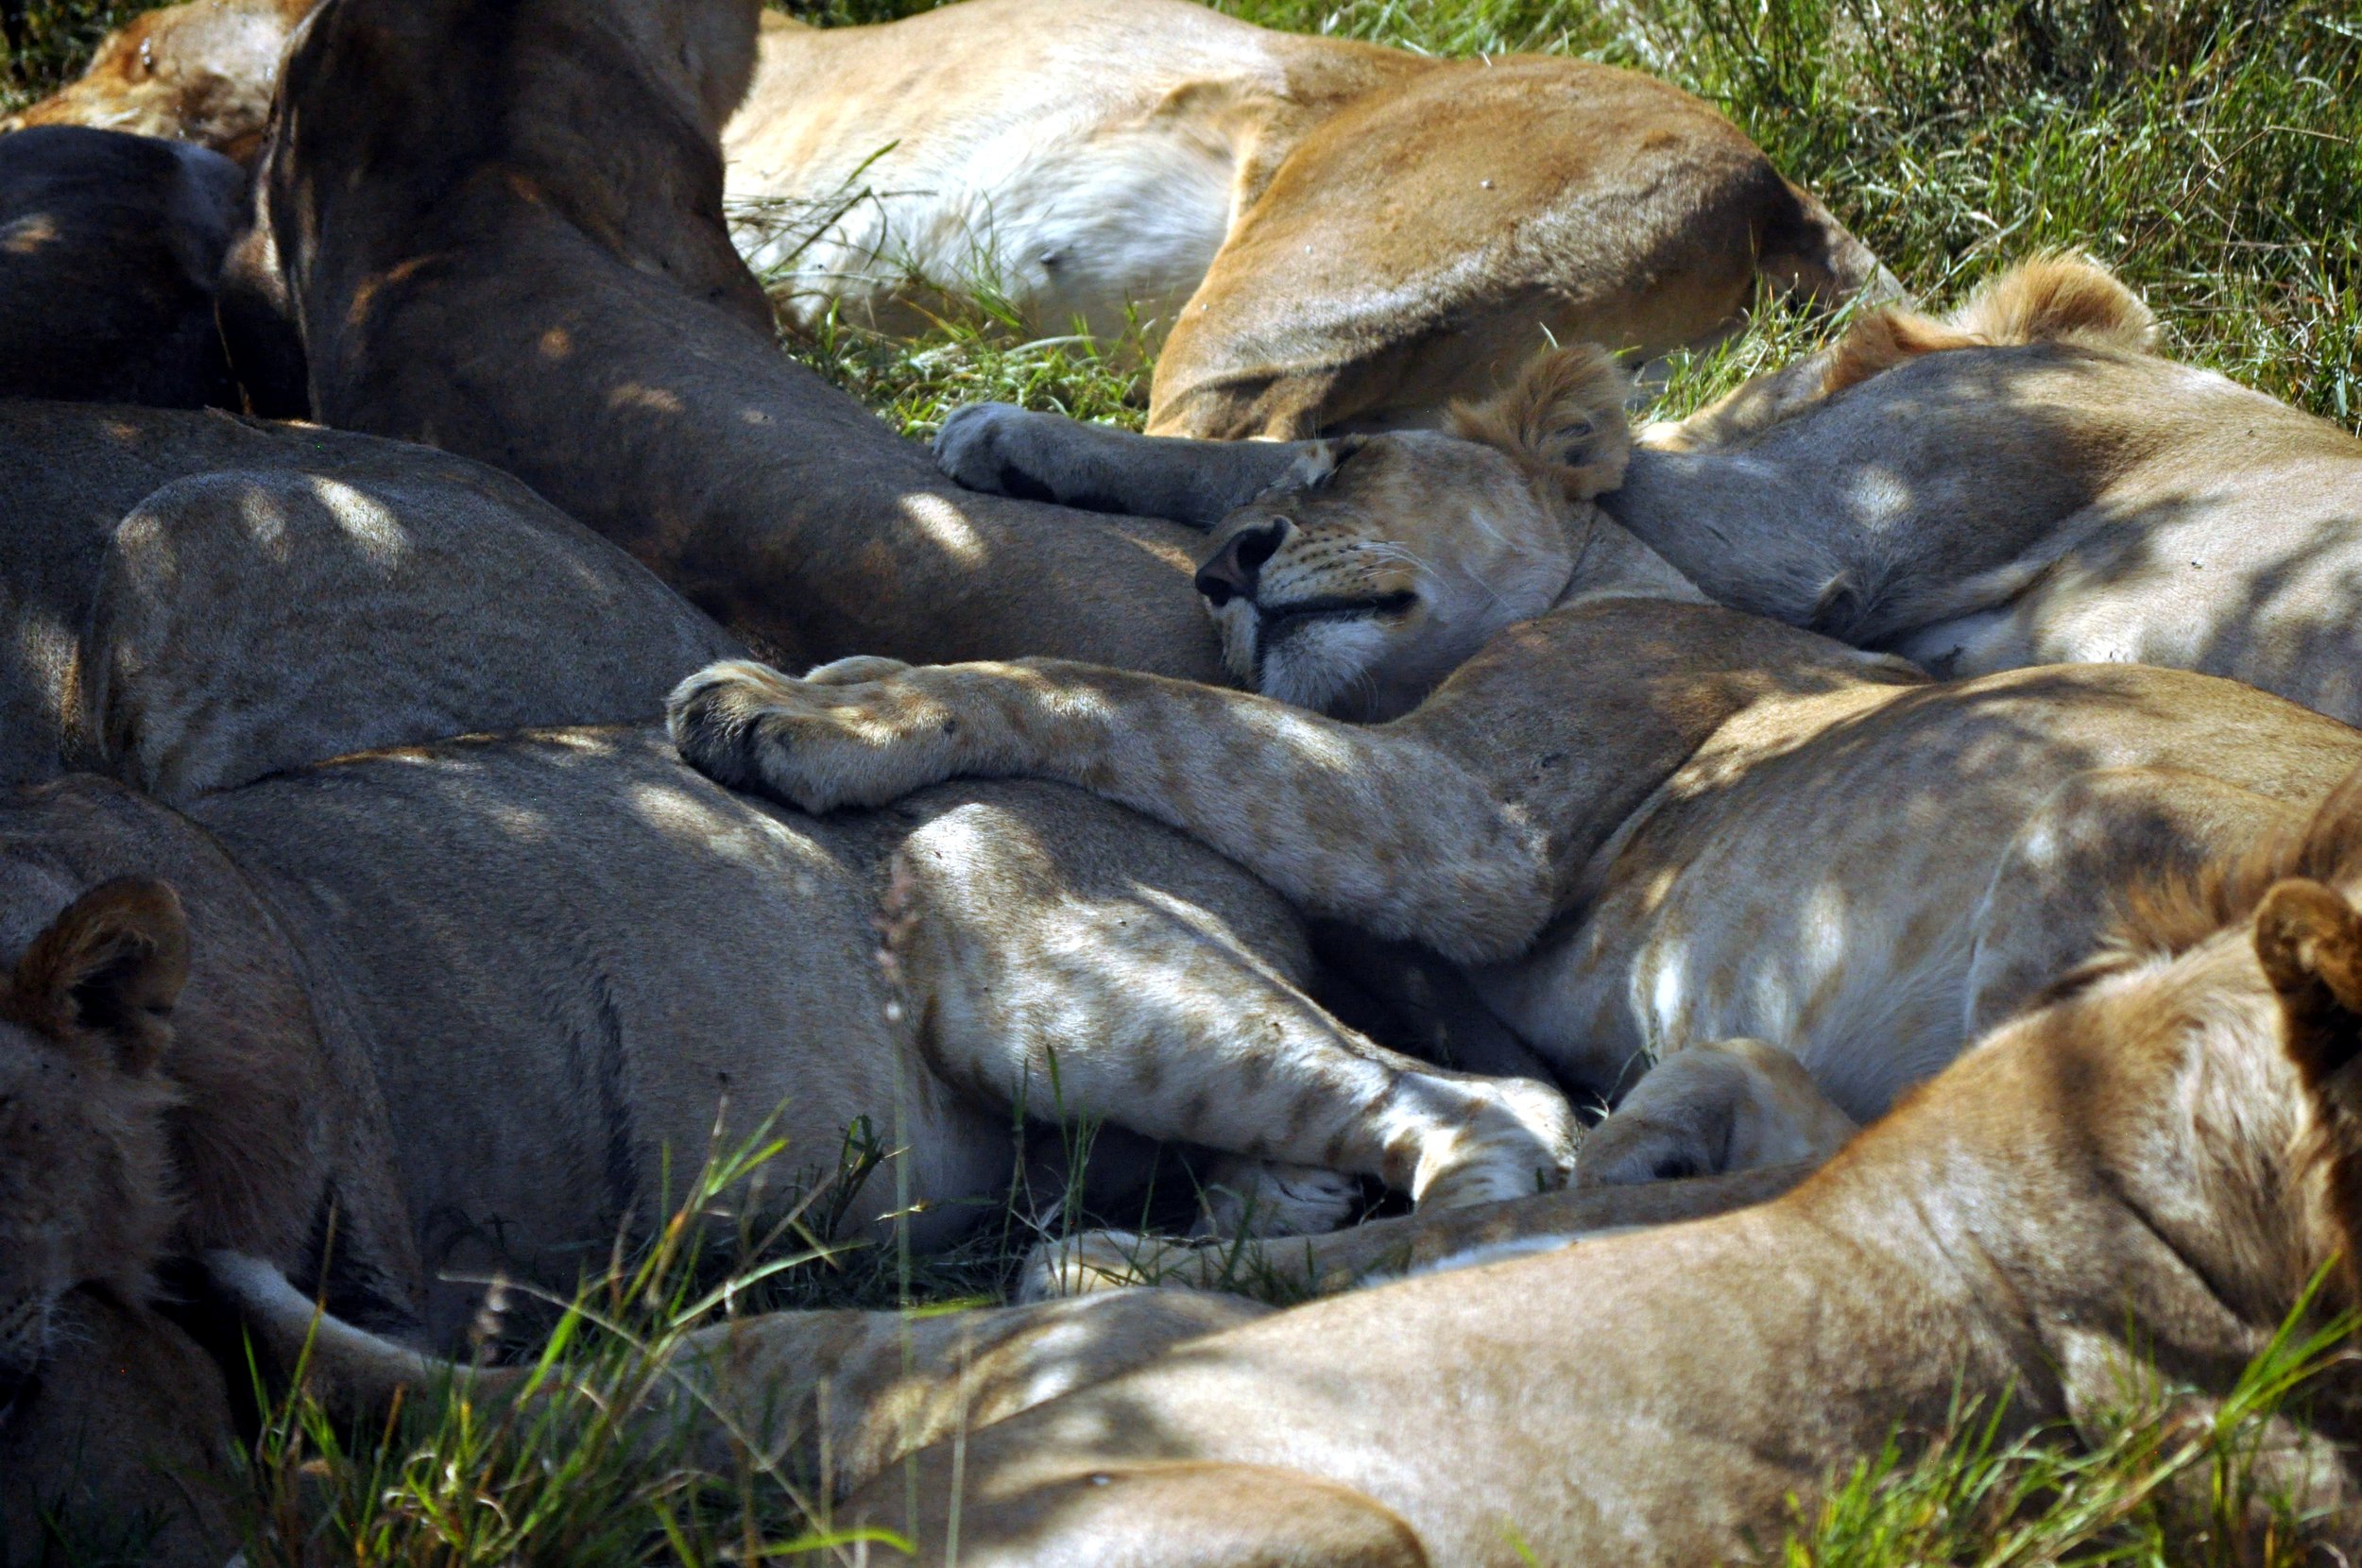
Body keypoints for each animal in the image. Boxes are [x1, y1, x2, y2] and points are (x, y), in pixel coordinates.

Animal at [666, 340, 2362, 1152]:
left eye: (1346, 458)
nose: (1221, 571)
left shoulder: (1460, 820)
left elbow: (1093, 687)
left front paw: (808, 715)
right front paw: (845, 669)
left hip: (2082, 831)